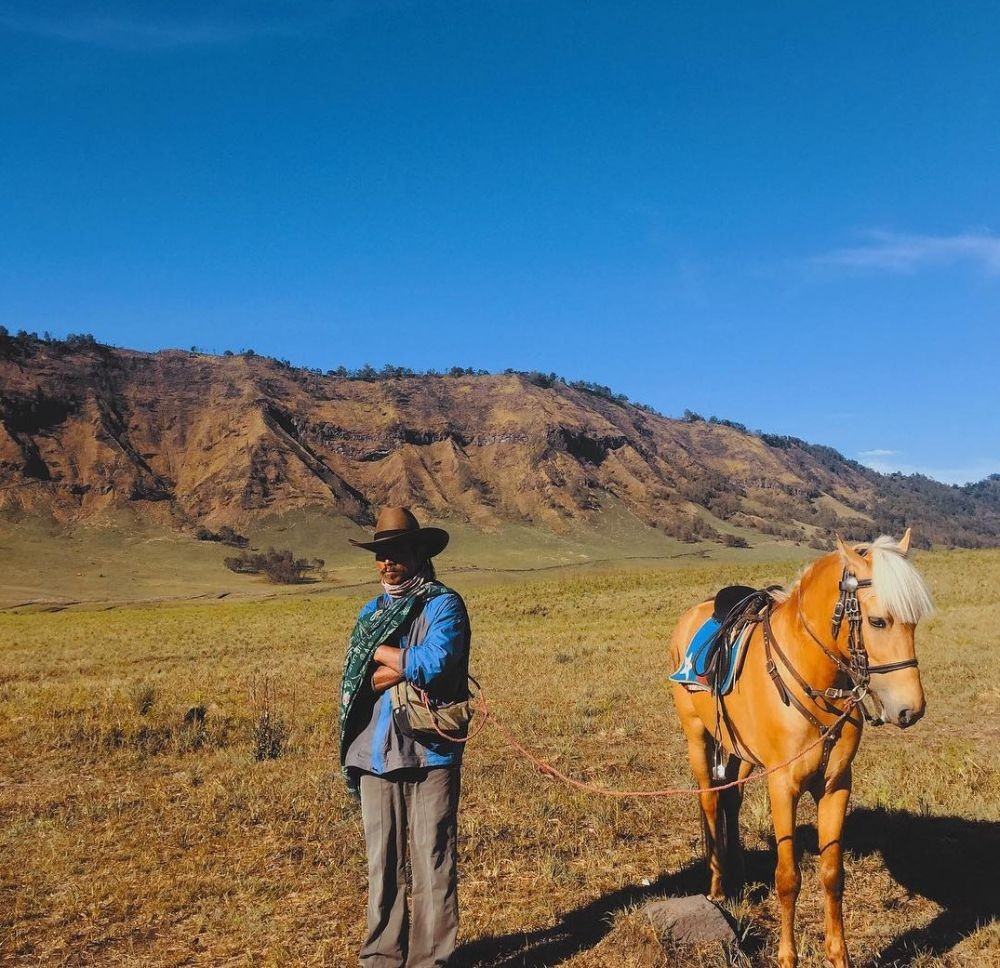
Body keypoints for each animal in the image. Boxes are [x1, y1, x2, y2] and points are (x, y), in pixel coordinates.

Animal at [668, 532, 932, 968]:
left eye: (915, 622)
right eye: (878, 621)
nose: (910, 710)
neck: (815, 678)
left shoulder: (836, 784)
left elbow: (832, 874)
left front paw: (839, 955)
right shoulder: (783, 786)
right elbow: (788, 877)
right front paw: (787, 957)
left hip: (741, 749)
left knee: (732, 799)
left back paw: (738, 868)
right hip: (697, 735)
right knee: (710, 799)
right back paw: (718, 884)